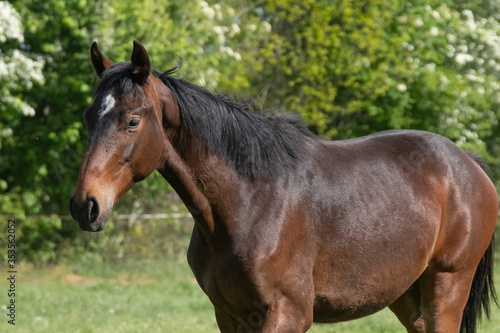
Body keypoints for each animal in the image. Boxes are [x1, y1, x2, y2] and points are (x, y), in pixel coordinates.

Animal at [69, 41, 496, 332]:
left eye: (132, 121)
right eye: (90, 116)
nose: (84, 206)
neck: (250, 203)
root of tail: (467, 164)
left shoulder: (287, 313)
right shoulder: (230, 315)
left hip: (446, 286)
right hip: (407, 295)